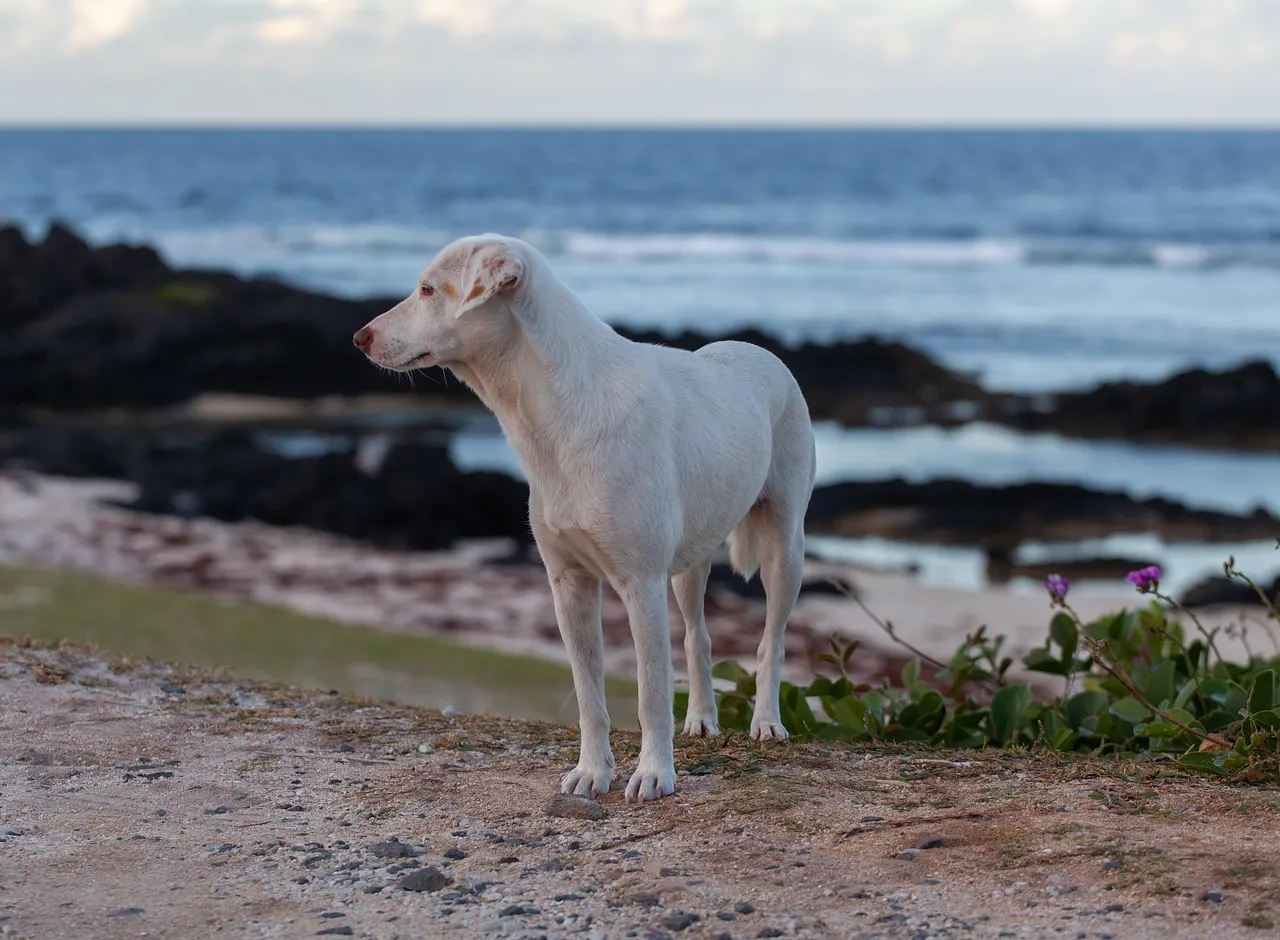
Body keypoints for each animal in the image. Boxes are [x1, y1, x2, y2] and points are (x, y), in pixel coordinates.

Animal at [355, 235, 814, 804]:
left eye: (427, 290)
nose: (359, 338)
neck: (559, 408)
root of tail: (760, 350)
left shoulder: (641, 585)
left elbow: (650, 693)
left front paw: (654, 775)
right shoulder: (569, 584)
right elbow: (588, 694)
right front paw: (592, 772)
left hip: (783, 549)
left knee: (771, 639)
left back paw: (766, 723)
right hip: (690, 566)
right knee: (698, 636)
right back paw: (703, 719)